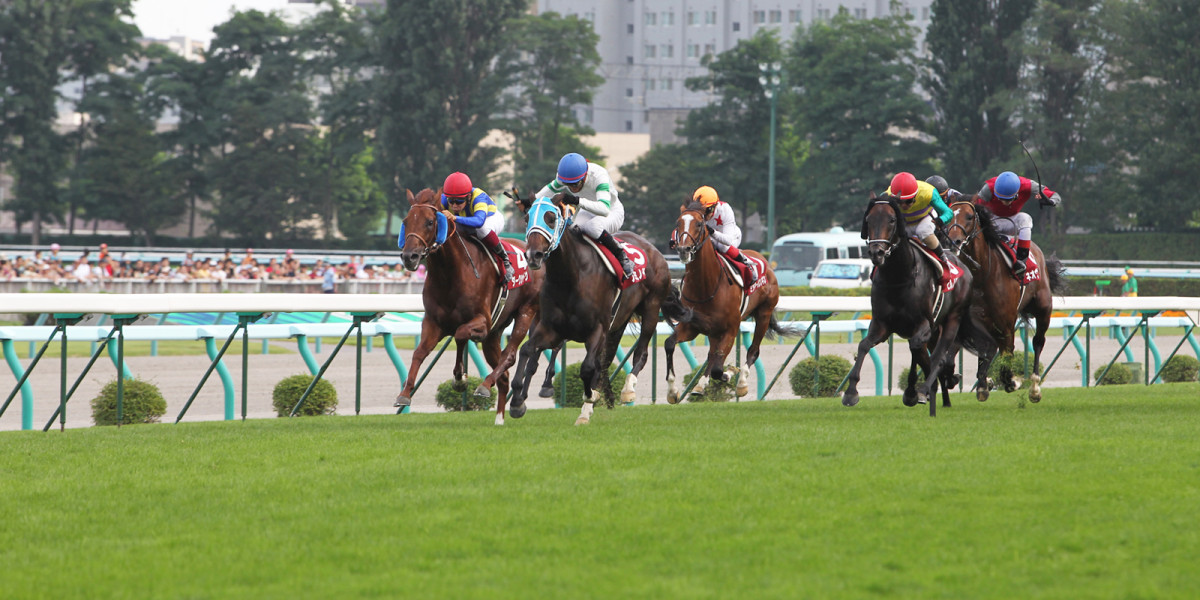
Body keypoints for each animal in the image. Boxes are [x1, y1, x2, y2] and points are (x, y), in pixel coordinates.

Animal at [393, 187, 544, 427]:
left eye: (429, 222)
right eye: (406, 221)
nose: (409, 256)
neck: (451, 274)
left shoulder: (481, 322)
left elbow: (460, 333)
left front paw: (460, 379)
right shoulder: (433, 322)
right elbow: (419, 352)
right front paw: (405, 394)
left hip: (526, 311)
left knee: (510, 355)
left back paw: (485, 386)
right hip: (494, 333)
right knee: (503, 375)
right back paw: (499, 417)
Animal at [508, 194, 696, 424]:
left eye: (551, 218)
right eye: (526, 218)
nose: (533, 255)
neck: (570, 277)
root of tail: (654, 251)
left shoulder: (596, 329)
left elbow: (588, 367)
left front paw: (589, 399)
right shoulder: (552, 328)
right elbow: (527, 350)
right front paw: (517, 401)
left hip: (651, 309)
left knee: (640, 353)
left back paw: (631, 390)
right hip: (619, 321)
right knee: (606, 362)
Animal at [667, 200, 787, 403]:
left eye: (698, 224)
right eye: (678, 223)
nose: (683, 250)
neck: (705, 285)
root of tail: (765, 261)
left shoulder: (731, 329)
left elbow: (718, 369)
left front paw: (730, 372)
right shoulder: (691, 326)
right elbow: (670, 344)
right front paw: (672, 391)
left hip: (764, 313)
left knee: (753, 351)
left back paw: (741, 383)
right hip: (714, 331)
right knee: (712, 354)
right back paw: (700, 385)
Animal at [840, 194, 988, 415]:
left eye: (892, 220)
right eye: (869, 219)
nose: (877, 253)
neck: (898, 277)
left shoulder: (924, 323)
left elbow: (925, 355)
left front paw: (926, 386)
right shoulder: (882, 324)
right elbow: (864, 345)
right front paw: (851, 392)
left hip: (952, 319)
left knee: (938, 354)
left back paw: (927, 387)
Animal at [945, 199, 1070, 400]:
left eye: (969, 217)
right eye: (949, 215)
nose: (953, 241)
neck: (983, 275)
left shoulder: (1006, 323)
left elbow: (1007, 355)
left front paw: (1010, 381)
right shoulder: (972, 319)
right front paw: (982, 382)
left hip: (1043, 308)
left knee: (1038, 341)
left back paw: (1034, 387)